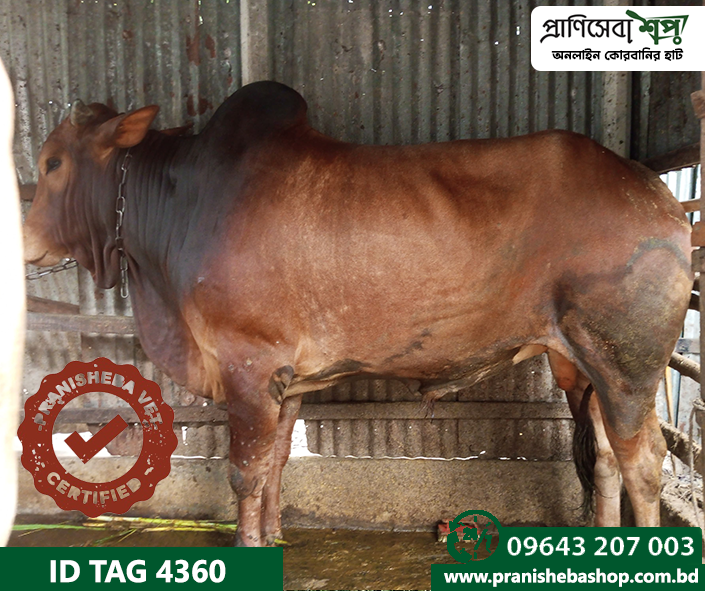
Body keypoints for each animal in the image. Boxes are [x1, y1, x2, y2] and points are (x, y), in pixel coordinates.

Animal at [23, 81, 691, 545]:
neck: (183, 207)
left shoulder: (248, 366)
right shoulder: (287, 381)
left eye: (53, 162)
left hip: (629, 364)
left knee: (643, 463)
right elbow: (275, 465)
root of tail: (658, 195)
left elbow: (245, 472)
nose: (24, 240)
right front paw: (274, 538)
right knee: (605, 460)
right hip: (581, 363)